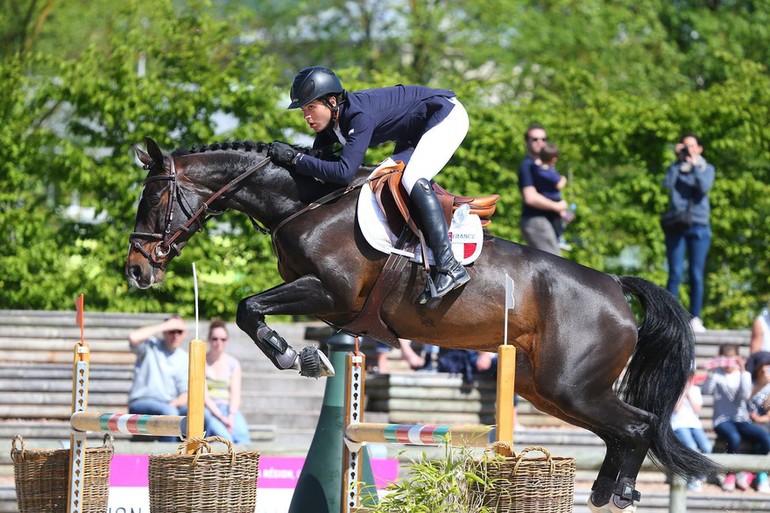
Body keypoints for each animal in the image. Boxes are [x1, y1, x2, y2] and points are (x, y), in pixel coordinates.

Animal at [124, 137, 712, 512]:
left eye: (153, 199)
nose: (136, 270)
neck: (305, 202)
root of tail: (614, 285)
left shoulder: (330, 291)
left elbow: (249, 308)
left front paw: (300, 357)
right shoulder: (330, 304)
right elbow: (256, 310)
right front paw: (310, 355)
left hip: (572, 385)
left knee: (636, 426)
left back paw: (620, 493)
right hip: (547, 388)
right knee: (622, 429)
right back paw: (605, 493)